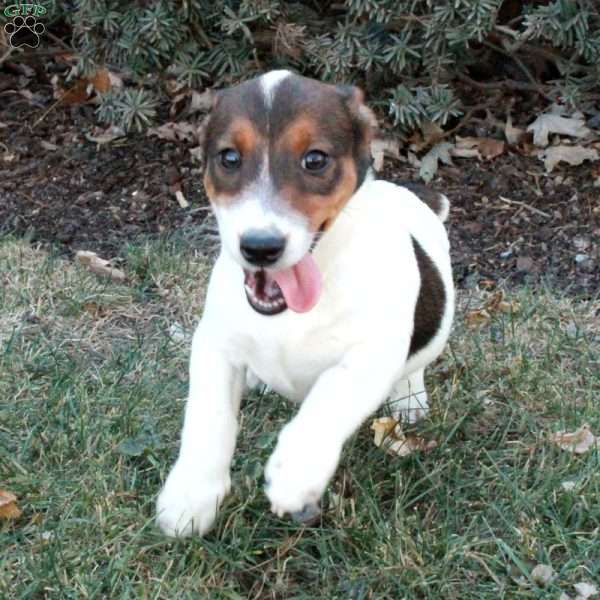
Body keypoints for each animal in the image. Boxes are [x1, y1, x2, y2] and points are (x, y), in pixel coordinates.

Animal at [156, 71, 454, 540]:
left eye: (315, 160)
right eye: (228, 157)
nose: (260, 247)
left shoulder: (372, 355)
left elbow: (331, 396)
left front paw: (296, 470)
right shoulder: (215, 344)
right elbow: (208, 416)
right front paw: (191, 494)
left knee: (416, 365)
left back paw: (409, 399)